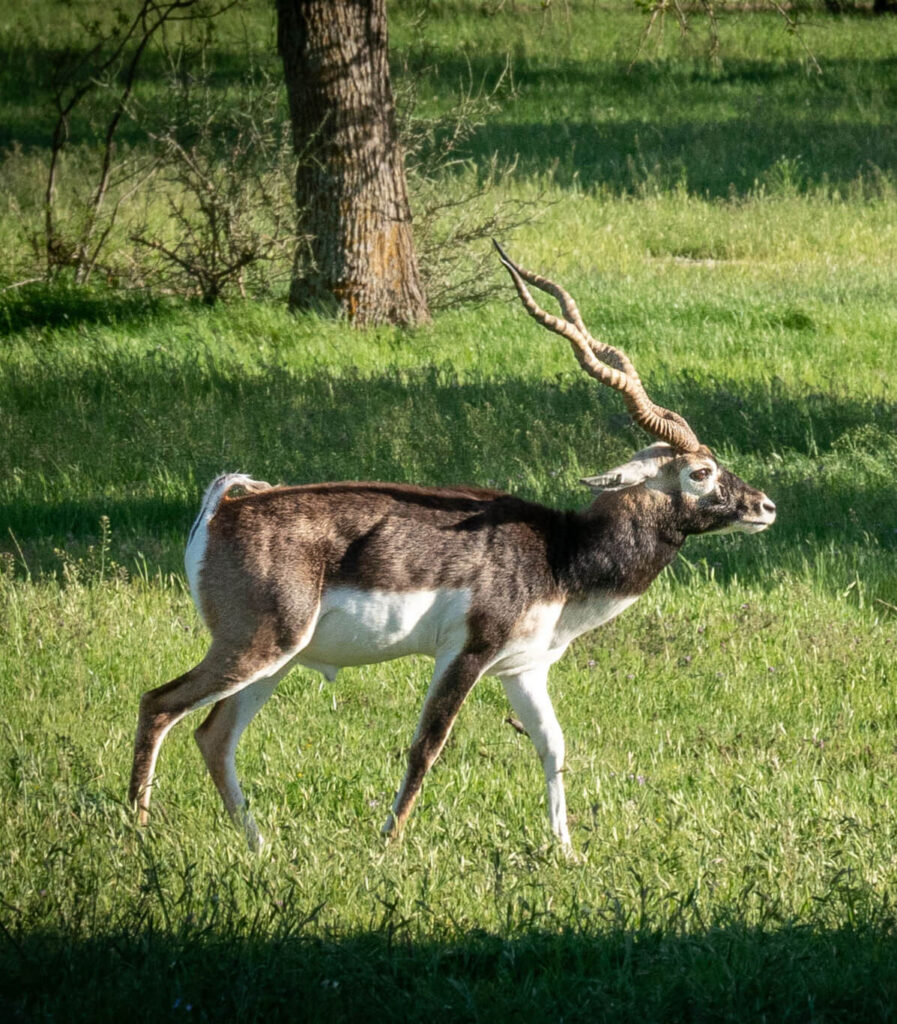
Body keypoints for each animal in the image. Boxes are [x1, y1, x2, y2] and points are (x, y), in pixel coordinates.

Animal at [129, 243, 776, 851]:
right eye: (699, 472)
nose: (765, 507)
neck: (561, 556)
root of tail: (225, 510)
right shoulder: (465, 654)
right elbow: (427, 744)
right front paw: (388, 842)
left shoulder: (523, 669)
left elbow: (553, 747)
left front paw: (567, 851)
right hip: (256, 646)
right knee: (158, 704)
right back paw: (136, 830)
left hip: (278, 659)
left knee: (213, 735)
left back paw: (260, 846)